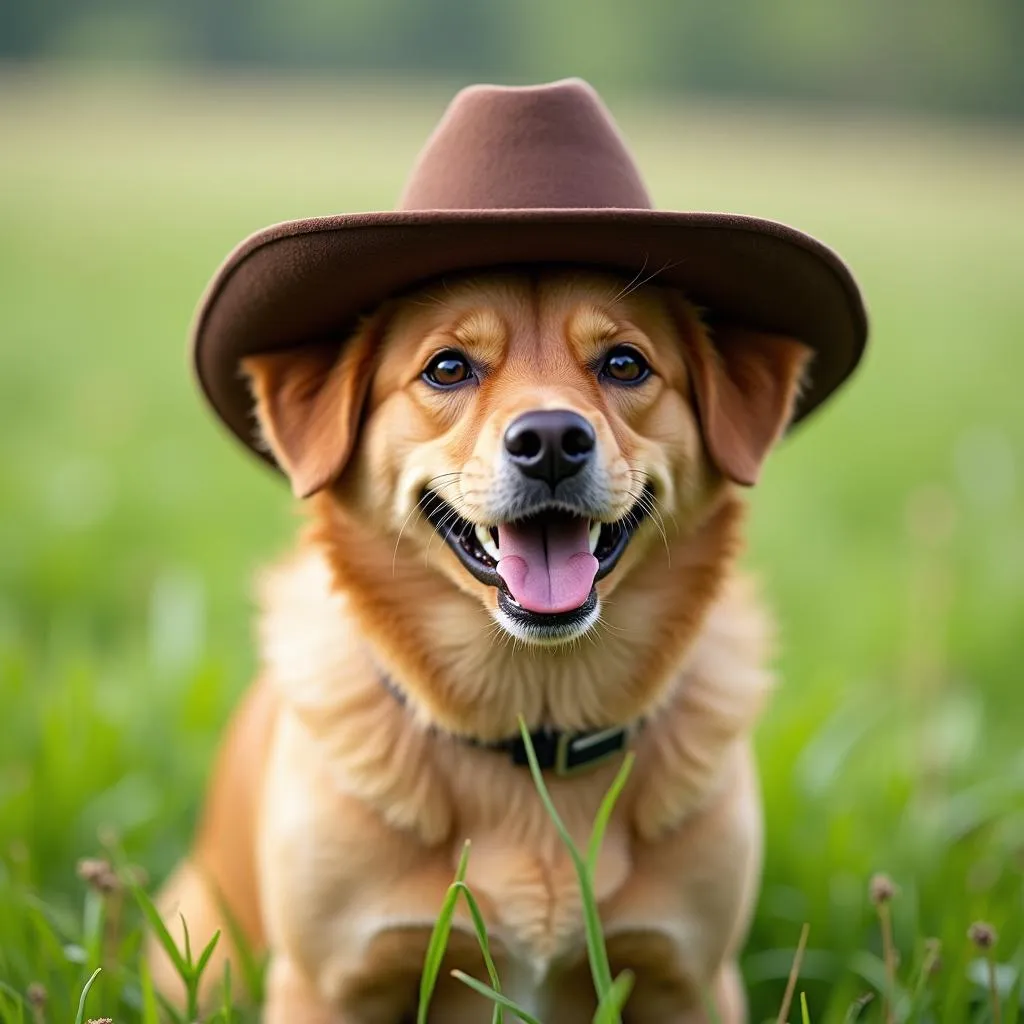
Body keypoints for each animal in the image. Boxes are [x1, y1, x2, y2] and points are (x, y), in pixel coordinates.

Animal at [148, 266, 811, 1024]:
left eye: (624, 364)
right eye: (447, 368)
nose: (552, 439)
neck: (533, 722)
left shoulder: (691, 982)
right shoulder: (328, 988)